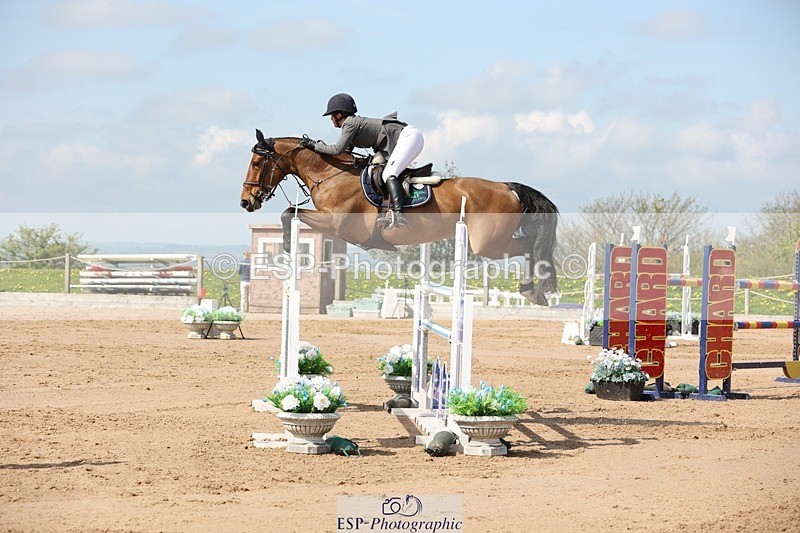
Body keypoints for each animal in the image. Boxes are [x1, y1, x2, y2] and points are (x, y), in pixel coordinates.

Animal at [239, 131, 559, 306]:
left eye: (256, 162)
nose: (246, 202)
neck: (331, 174)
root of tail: (506, 186)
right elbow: (290, 212)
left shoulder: (336, 224)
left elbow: (288, 213)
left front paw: (287, 246)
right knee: (531, 247)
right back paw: (535, 291)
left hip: (487, 244)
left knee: (530, 247)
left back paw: (533, 290)